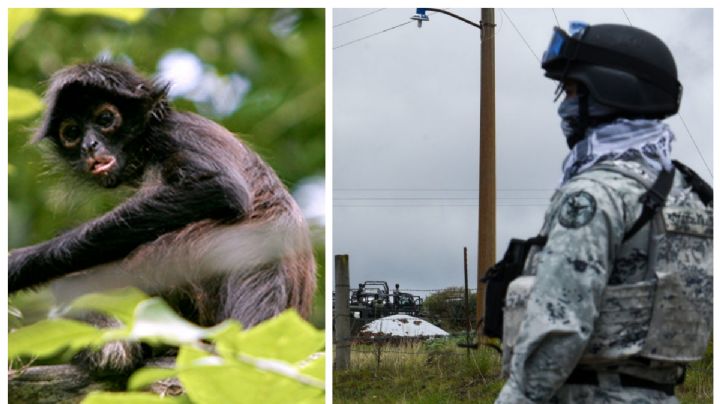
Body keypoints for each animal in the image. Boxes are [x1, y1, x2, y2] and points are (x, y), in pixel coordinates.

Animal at [8, 61, 316, 374]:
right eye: (71, 133)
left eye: (106, 118)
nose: (89, 145)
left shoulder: (174, 133)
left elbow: (221, 188)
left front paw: (22, 264)